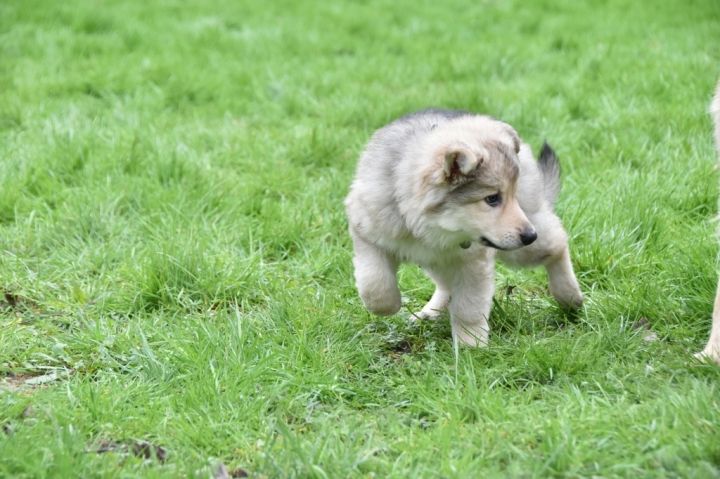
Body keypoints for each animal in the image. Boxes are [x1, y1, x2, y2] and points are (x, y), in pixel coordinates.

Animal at [345, 109, 583, 347]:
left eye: (511, 195)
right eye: (492, 198)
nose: (529, 235)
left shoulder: (473, 261)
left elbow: (468, 307)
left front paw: (471, 346)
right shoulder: (367, 234)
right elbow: (375, 285)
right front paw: (389, 305)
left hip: (523, 246)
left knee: (558, 244)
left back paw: (569, 296)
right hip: (439, 259)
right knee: (445, 285)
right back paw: (430, 313)